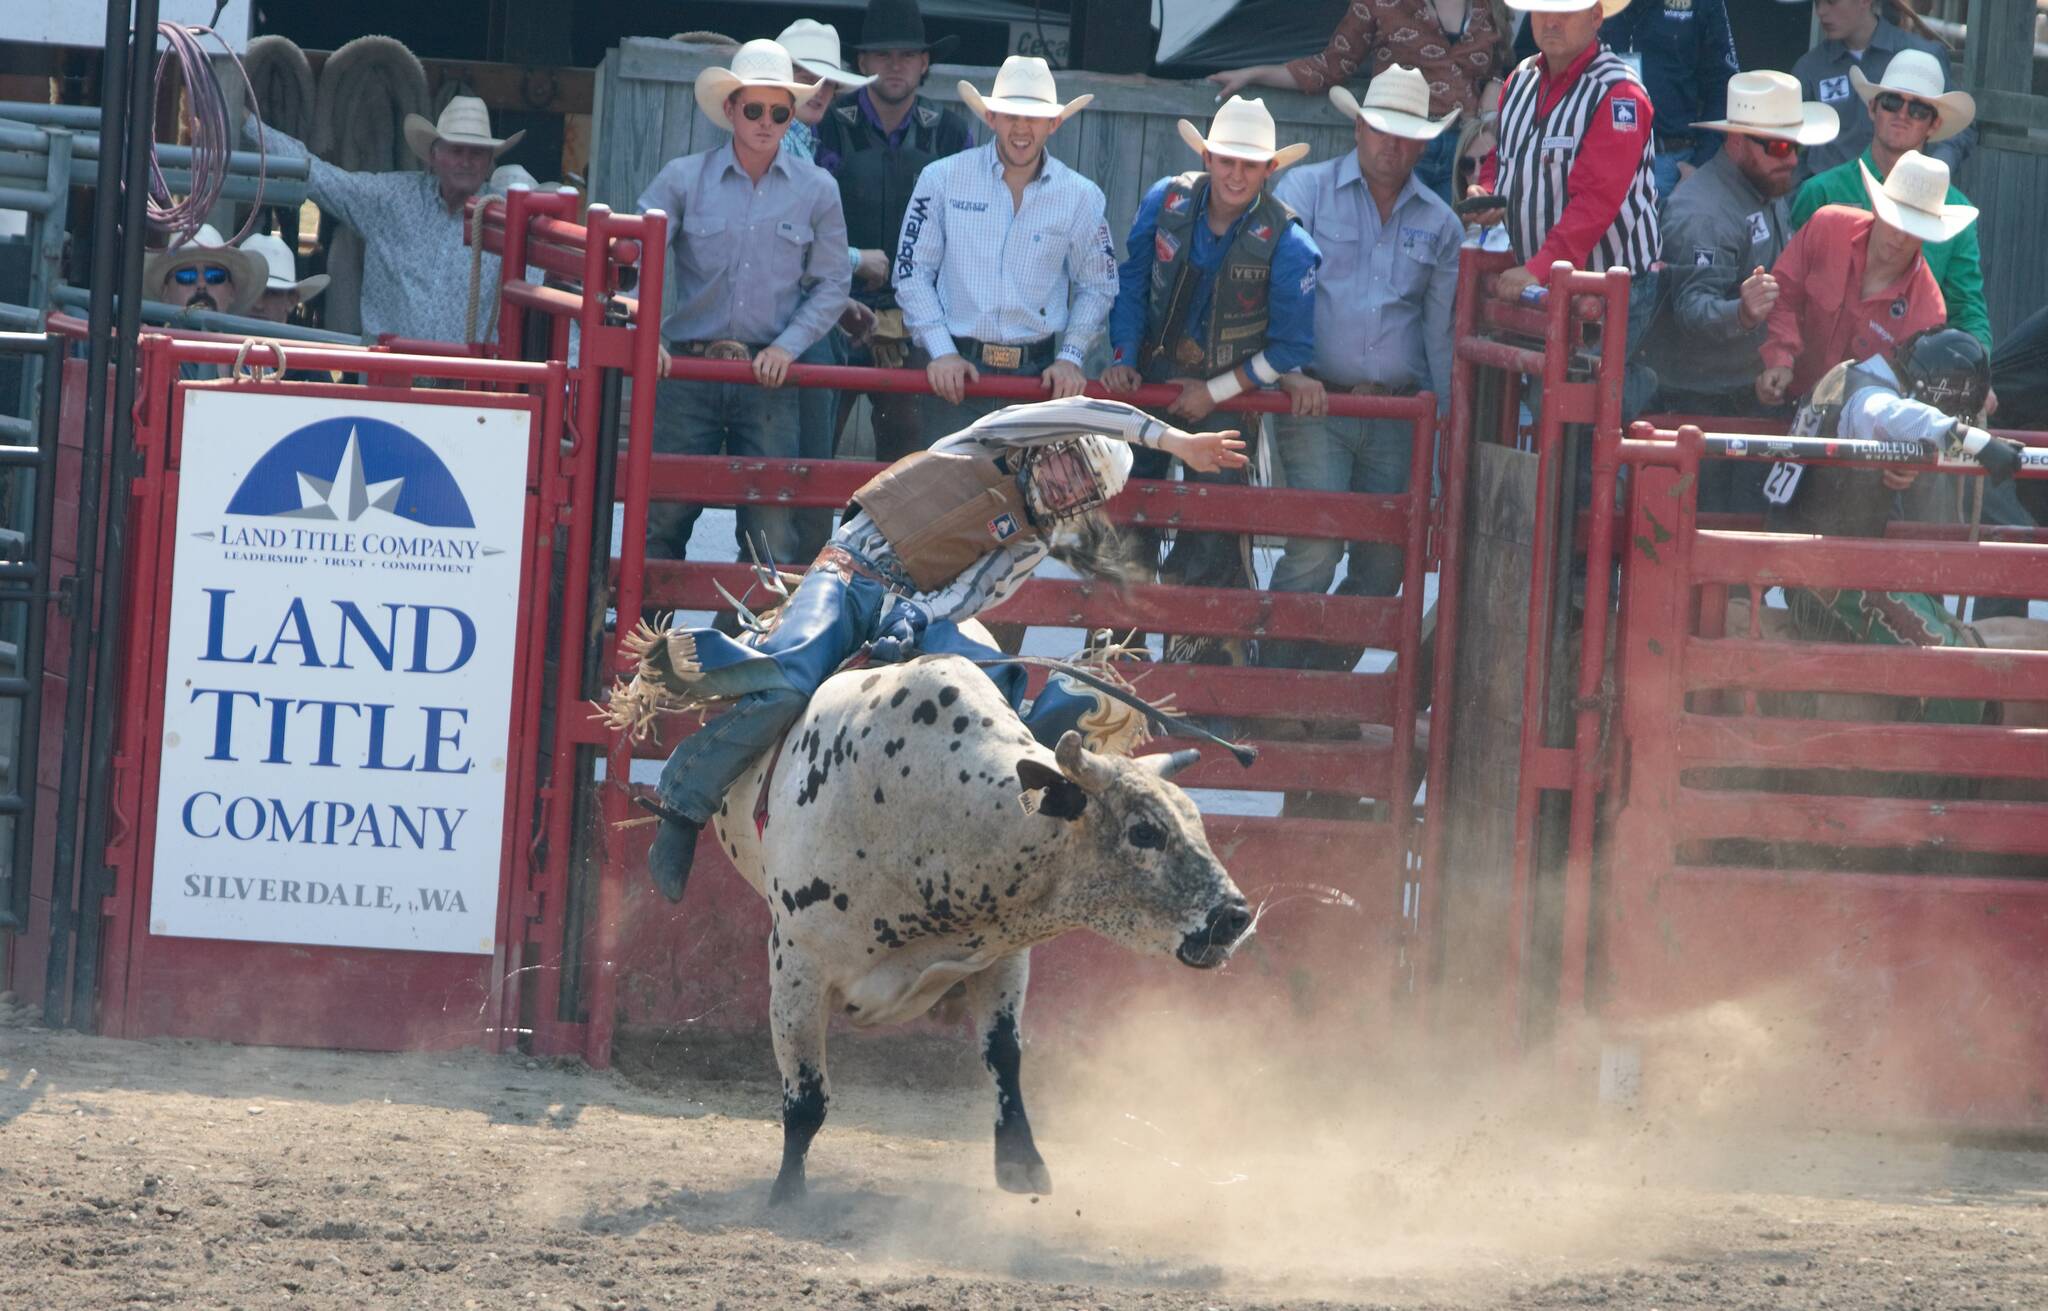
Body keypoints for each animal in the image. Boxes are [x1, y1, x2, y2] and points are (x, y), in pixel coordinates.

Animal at [663, 659, 1253, 1204]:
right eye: (1145, 831)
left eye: (1197, 822)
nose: (1236, 915)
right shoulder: (797, 967)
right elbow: (806, 1096)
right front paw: (787, 1194)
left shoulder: (1003, 955)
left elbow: (1004, 1055)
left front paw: (1021, 1163)